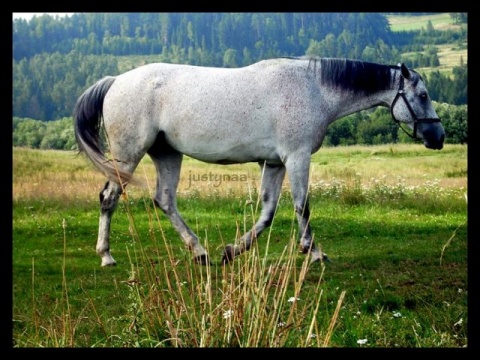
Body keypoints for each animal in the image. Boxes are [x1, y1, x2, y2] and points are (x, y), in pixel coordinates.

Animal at [73, 56, 444, 268]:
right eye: (423, 96)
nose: (438, 137)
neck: (314, 89)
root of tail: (115, 82)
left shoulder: (274, 163)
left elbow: (267, 212)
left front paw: (233, 250)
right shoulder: (296, 158)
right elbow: (302, 206)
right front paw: (314, 252)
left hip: (167, 153)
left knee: (164, 200)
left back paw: (201, 252)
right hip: (128, 154)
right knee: (109, 198)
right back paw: (106, 255)